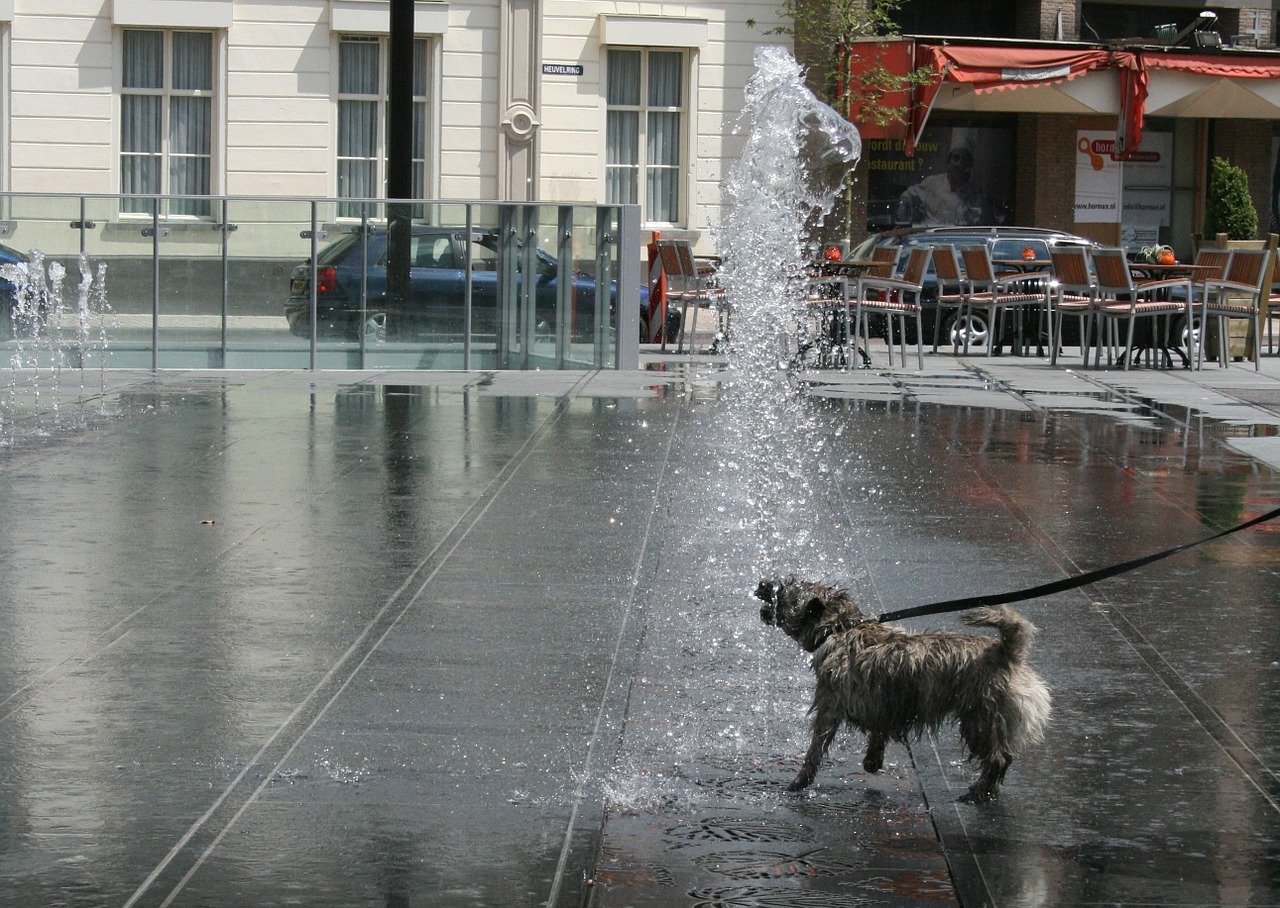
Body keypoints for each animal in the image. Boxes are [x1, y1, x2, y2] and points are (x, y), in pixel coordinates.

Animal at [752, 573, 1044, 799]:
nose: (764, 584)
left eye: (785, 590)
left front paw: (800, 781)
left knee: (998, 757)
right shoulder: (881, 703)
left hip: (981, 718)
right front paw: (872, 761)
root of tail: (1007, 652)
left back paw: (980, 792)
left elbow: (816, 747)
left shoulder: (829, 705)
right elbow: (878, 733)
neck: (839, 628)